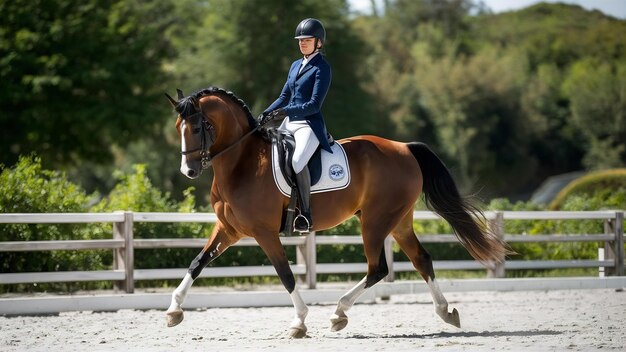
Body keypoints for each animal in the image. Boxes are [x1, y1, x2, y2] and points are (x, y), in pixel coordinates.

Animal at [162, 87, 508, 338]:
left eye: (197, 127)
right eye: (178, 127)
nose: (188, 171)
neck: (241, 163)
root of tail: (404, 147)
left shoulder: (264, 232)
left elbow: (286, 275)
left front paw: (299, 323)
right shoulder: (228, 229)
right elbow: (197, 263)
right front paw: (173, 310)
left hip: (375, 221)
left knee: (377, 268)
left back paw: (339, 313)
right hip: (398, 220)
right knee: (421, 259)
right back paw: (446, 312)